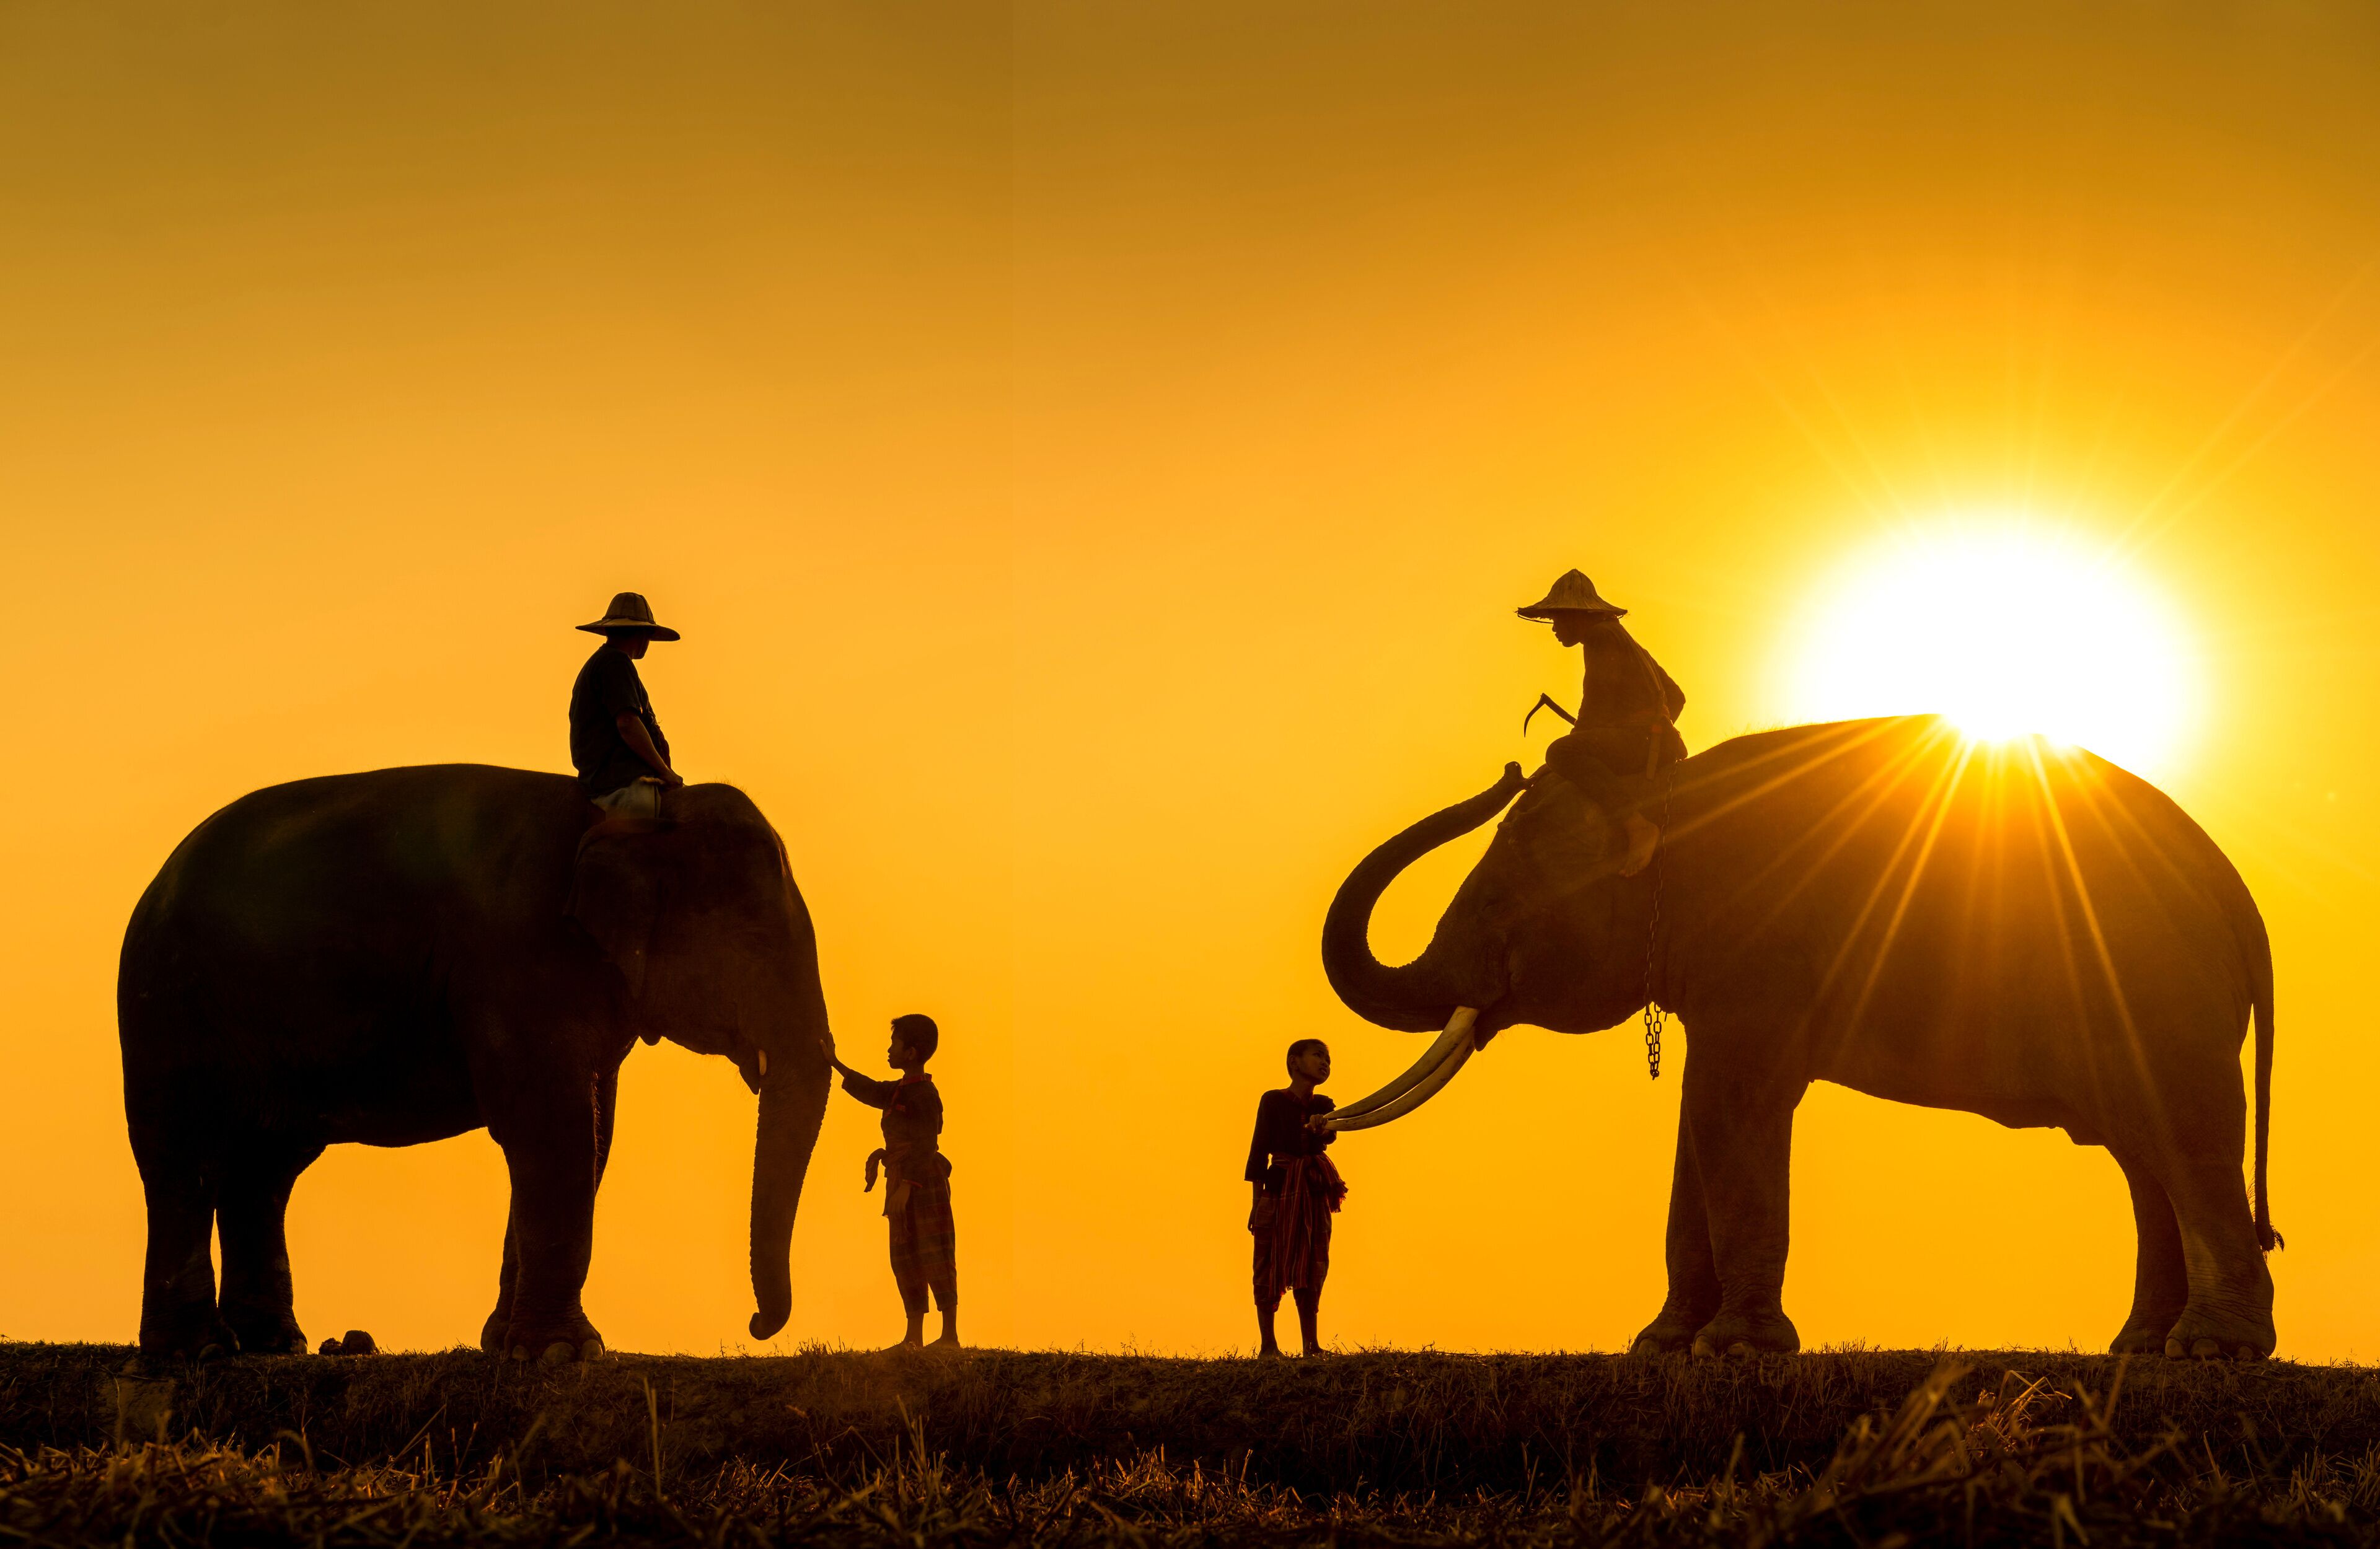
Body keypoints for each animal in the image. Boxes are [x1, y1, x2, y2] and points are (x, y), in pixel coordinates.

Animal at [117, 764, 833, 1362]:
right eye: (755, 939)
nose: (757, 1325)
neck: (625, 817)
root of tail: (156, 881)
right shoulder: (519, 956)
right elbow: (552, 1130)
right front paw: (562, 1354)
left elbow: (591, 1134)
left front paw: (508, 1346)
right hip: (168, 1005)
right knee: (184, 1156)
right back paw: (196, 1352)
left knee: (263, 1169)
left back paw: (271, 1345)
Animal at [1319, 716, 2278, 1359]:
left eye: (1496, 893)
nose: (1511, 764)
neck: (1664, 795)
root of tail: (2235, 891)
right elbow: (1699, 1122)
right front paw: (1662, 1348)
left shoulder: (1759, 954)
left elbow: (1733, 1106)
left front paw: (1735, 1351)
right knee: (2144, 1159)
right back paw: (2143, 1349)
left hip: (2165, 997)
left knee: (2184, 1143)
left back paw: (2212, 1350)